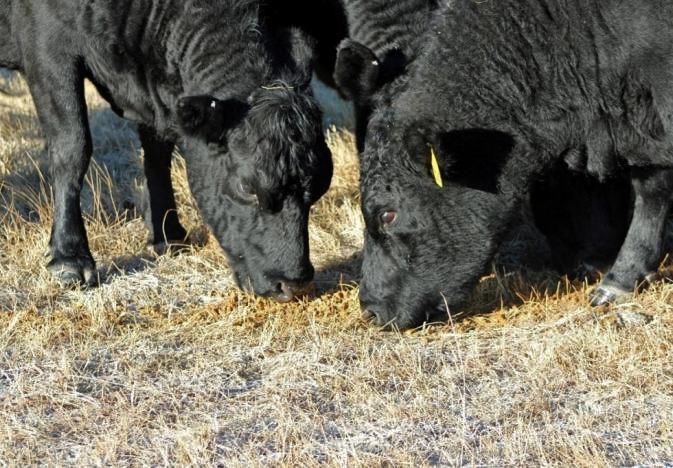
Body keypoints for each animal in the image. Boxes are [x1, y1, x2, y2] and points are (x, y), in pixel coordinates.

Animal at [0, 0, 333, 302]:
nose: (294, 284)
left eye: (319, 187)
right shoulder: (48, 48)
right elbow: (72, 148)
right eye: (247, 187)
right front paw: (69, 258)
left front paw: (167, 233)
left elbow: (157, 152)